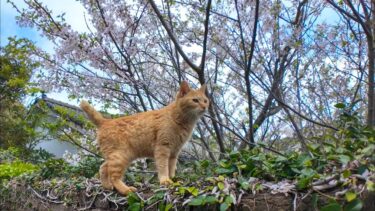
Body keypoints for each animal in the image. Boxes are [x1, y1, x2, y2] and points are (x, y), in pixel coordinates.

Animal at [80, 81, 209, 195]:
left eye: (205, 100)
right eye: (195, 100)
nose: (204, 107)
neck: (181, 120)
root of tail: (106, 121)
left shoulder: (174, 152)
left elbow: (171, 168)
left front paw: (173, 180)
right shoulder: (163, 148)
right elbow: (163, 167)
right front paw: (165, 180)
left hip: (119, 156)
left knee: (102, 167)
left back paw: (107, 186)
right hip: (120, 156)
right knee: (114, 176)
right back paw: (126, 190)